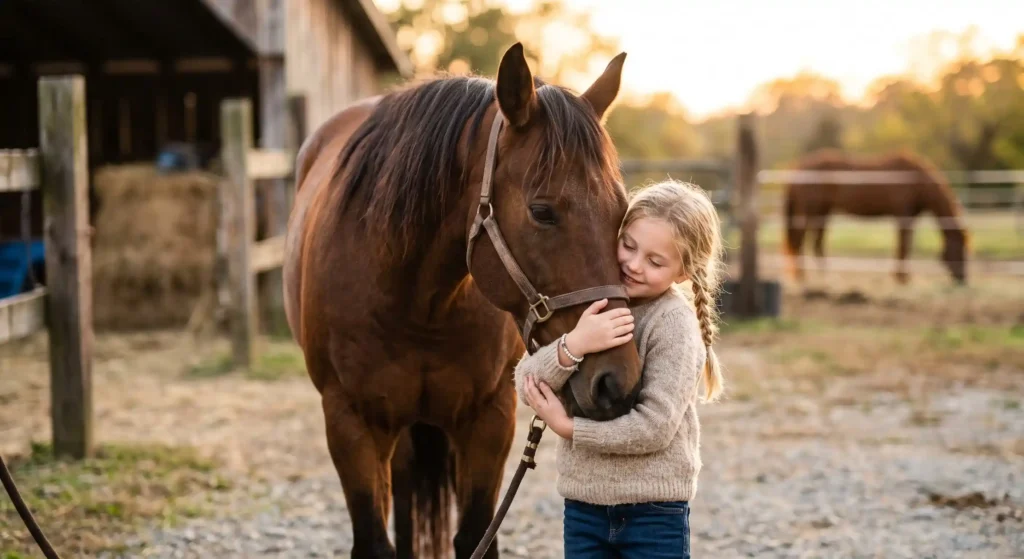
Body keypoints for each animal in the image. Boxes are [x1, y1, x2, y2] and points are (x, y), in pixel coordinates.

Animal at [282, 43, 643, 559]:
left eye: (621, 210)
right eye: (541, 211)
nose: (618, 381)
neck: (418, 303)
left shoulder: (488, 418)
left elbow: (475, 536)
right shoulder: (350, 422)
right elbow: (374, 541)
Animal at [782, 148, 970, 285]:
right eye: (960, 249)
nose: (962, 279)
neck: (916, 179)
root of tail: (798, 168)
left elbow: (903, 245)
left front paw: (901, 277)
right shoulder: (904, 216)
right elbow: (904, 245)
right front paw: (902, 278)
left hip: (822, 212)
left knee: (816, 243)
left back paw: (826, 276)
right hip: (810, 212)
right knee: (799, 241)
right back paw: (802, 277)